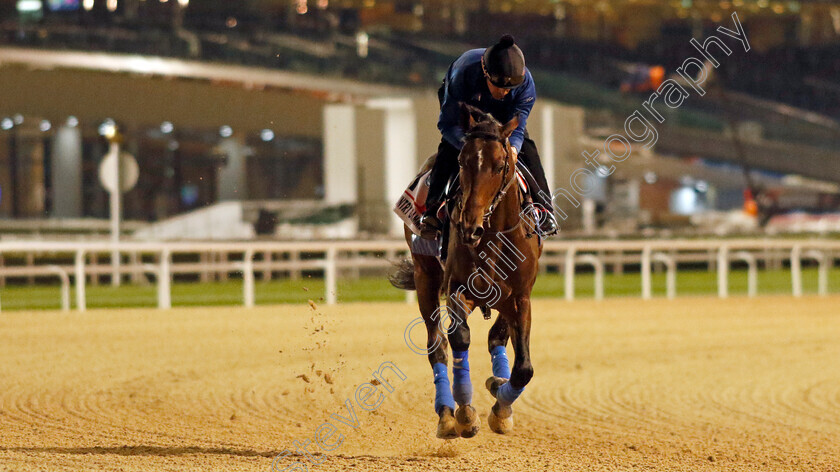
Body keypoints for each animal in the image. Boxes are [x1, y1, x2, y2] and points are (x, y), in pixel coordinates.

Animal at [390, 104, 540, 438]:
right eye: (461, 161)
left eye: (500, 165)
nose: (469, 226)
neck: (493, 236)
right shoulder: (459, 289)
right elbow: (459, 337)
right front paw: (466, 413)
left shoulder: (520, 296)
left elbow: (523, 367)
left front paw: (501, 406)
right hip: (425, 277)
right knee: (437, 347)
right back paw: (446, 415)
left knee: (495, 339)